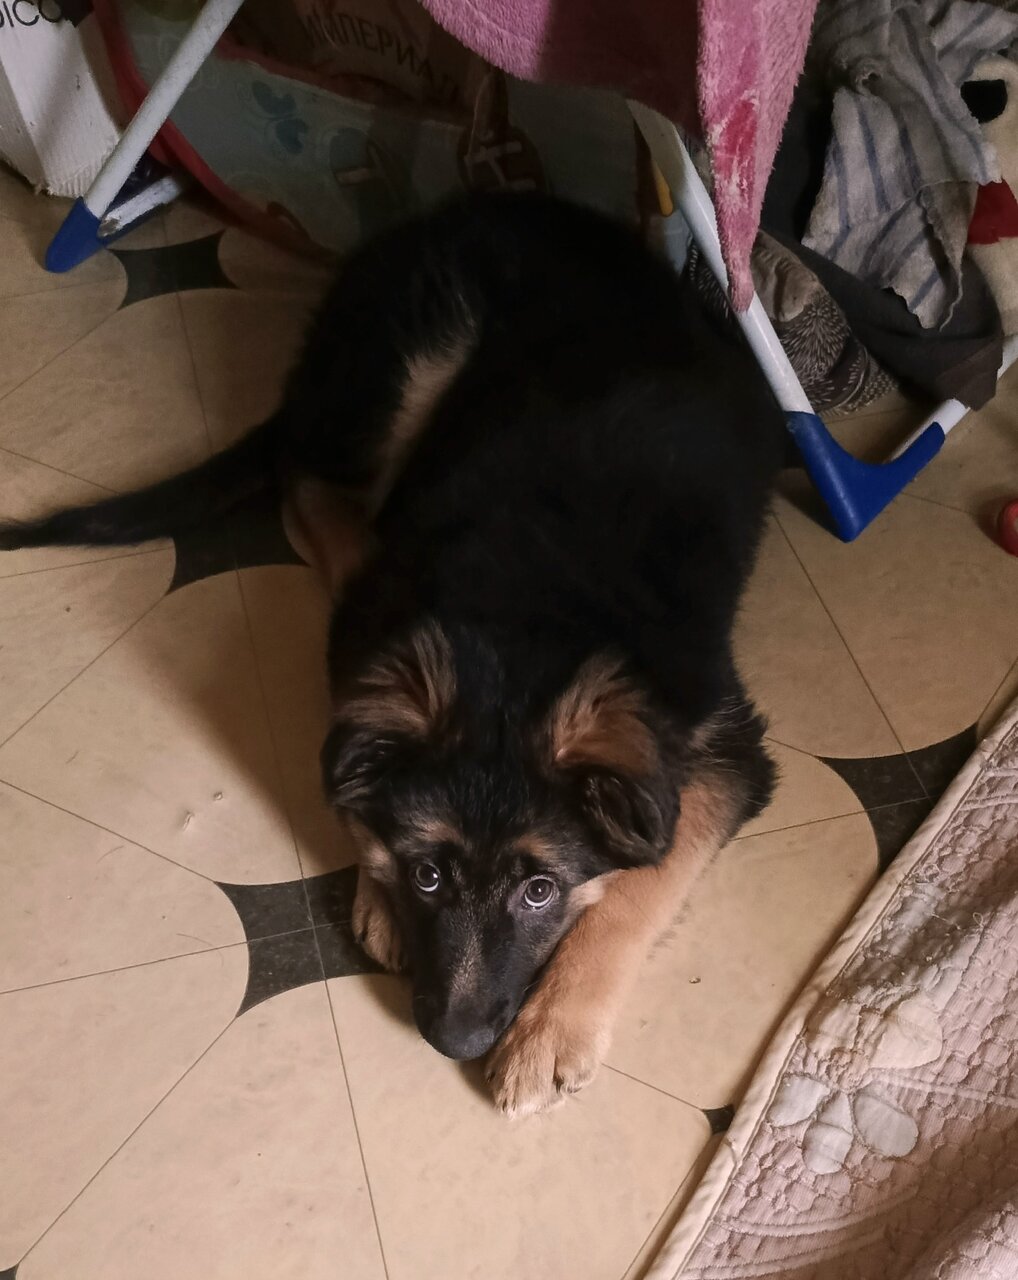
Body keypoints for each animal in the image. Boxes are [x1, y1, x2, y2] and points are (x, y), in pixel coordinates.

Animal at [1, 192, 783, 1115]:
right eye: (429, 877)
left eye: (541, 890)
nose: (457, 1042)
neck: (524, 613)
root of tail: (473, 202)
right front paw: (377, 886)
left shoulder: (722, 748)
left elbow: (641, 884)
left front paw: (551, 1032)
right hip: (415, 355)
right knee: (303, 474)